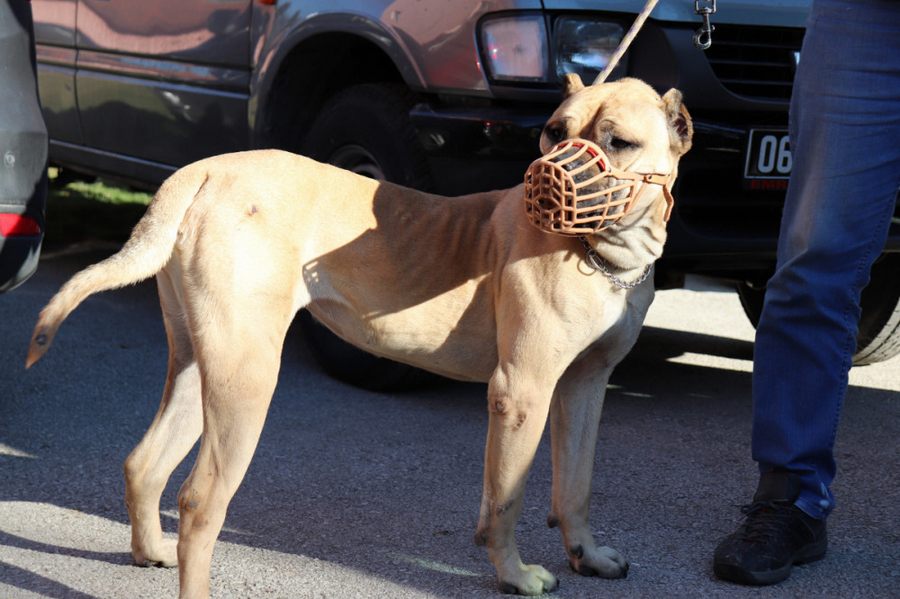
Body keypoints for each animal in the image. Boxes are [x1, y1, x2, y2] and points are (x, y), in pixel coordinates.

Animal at [26, 77, 688, 596]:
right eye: (554, 131)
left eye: (618, 142)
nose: (545, 178)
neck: (603, 255)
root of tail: (204, 169)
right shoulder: (522, 392)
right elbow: (506, 498)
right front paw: (515, 576)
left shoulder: (584, 387)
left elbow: (575, 485)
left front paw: (587, 556)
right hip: (246, 382)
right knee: (199, 500)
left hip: (199, 367)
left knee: (145, 463)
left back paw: (151, 551)